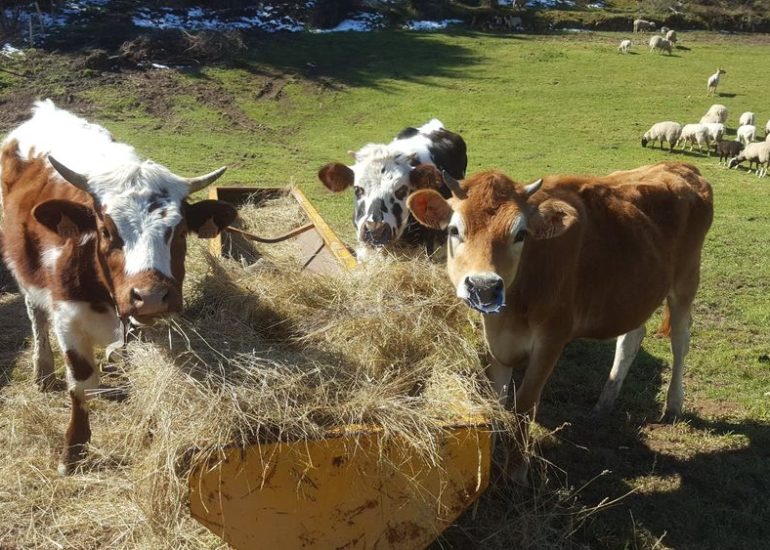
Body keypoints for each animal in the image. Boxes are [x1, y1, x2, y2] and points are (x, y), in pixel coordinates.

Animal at [0, 101, 236, 476]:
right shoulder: (67, 320)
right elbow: (82, 383)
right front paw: (73, 450)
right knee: (35, 314)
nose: (151, 297)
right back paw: (43, 369)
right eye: (106, 230)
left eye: (179, 231)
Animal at [404, 163, 712, 484]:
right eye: (454, 230)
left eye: (520, 234)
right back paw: (604, 402)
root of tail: (678, 167)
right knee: (632, 338)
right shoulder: (495, 340)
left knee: (680, 341)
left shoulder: (552, 338)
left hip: (686, 281)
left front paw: (517, 470)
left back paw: (673, 405)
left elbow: (525, 404)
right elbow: (495, 398)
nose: (484, 287)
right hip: (634, 293)